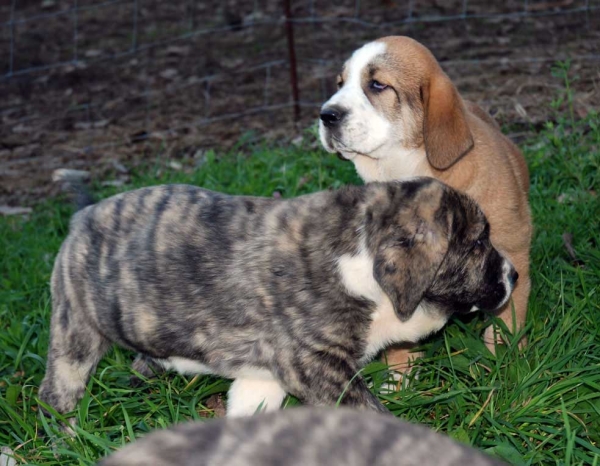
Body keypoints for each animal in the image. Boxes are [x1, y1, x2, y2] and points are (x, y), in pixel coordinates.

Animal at [38, 177, 516, 416]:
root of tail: (82, 213)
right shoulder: (319, 369)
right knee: (57, 390)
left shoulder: (263, 378)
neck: (362, 253)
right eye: (478, 243)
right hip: (75, 334)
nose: (513, 274)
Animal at [322, 36, 532, 368]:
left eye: (377, 85)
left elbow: (506, 317)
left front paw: (503, 364)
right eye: (340, 83)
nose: (326, 115)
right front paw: (399, 375)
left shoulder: (512, 251)